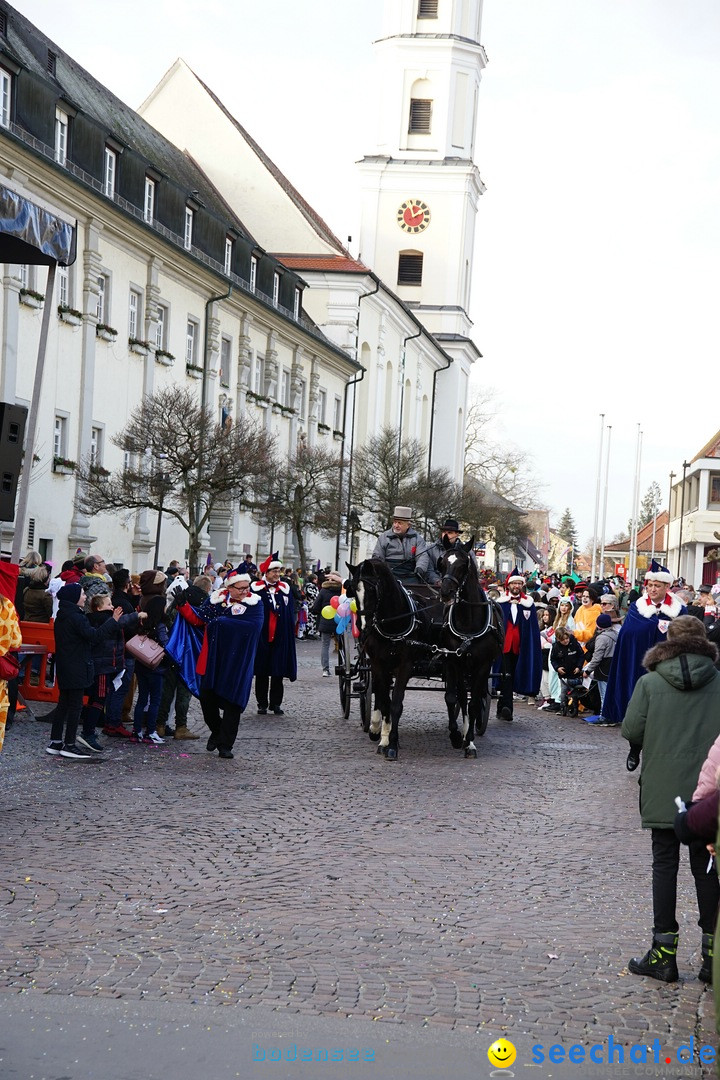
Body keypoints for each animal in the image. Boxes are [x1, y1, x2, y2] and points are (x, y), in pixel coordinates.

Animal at [345, 557, 440, 760]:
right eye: (353, 590)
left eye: (372, 589)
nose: (362, 626)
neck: (393, 624)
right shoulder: (378, 664)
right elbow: (384, 700)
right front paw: (382, 738)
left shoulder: (405, 665)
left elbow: (395, 704)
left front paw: (392, 744)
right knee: (378, 693)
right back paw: (375, 727)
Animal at [436, 540, 505, 760]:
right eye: (442, 563)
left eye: (462, 565)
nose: (446, 592)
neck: (468, 622)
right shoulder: (453, 661)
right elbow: (453, 698)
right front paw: (457, 736)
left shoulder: (482, 666)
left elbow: (474, 702)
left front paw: (470, 743)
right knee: (459, 697)